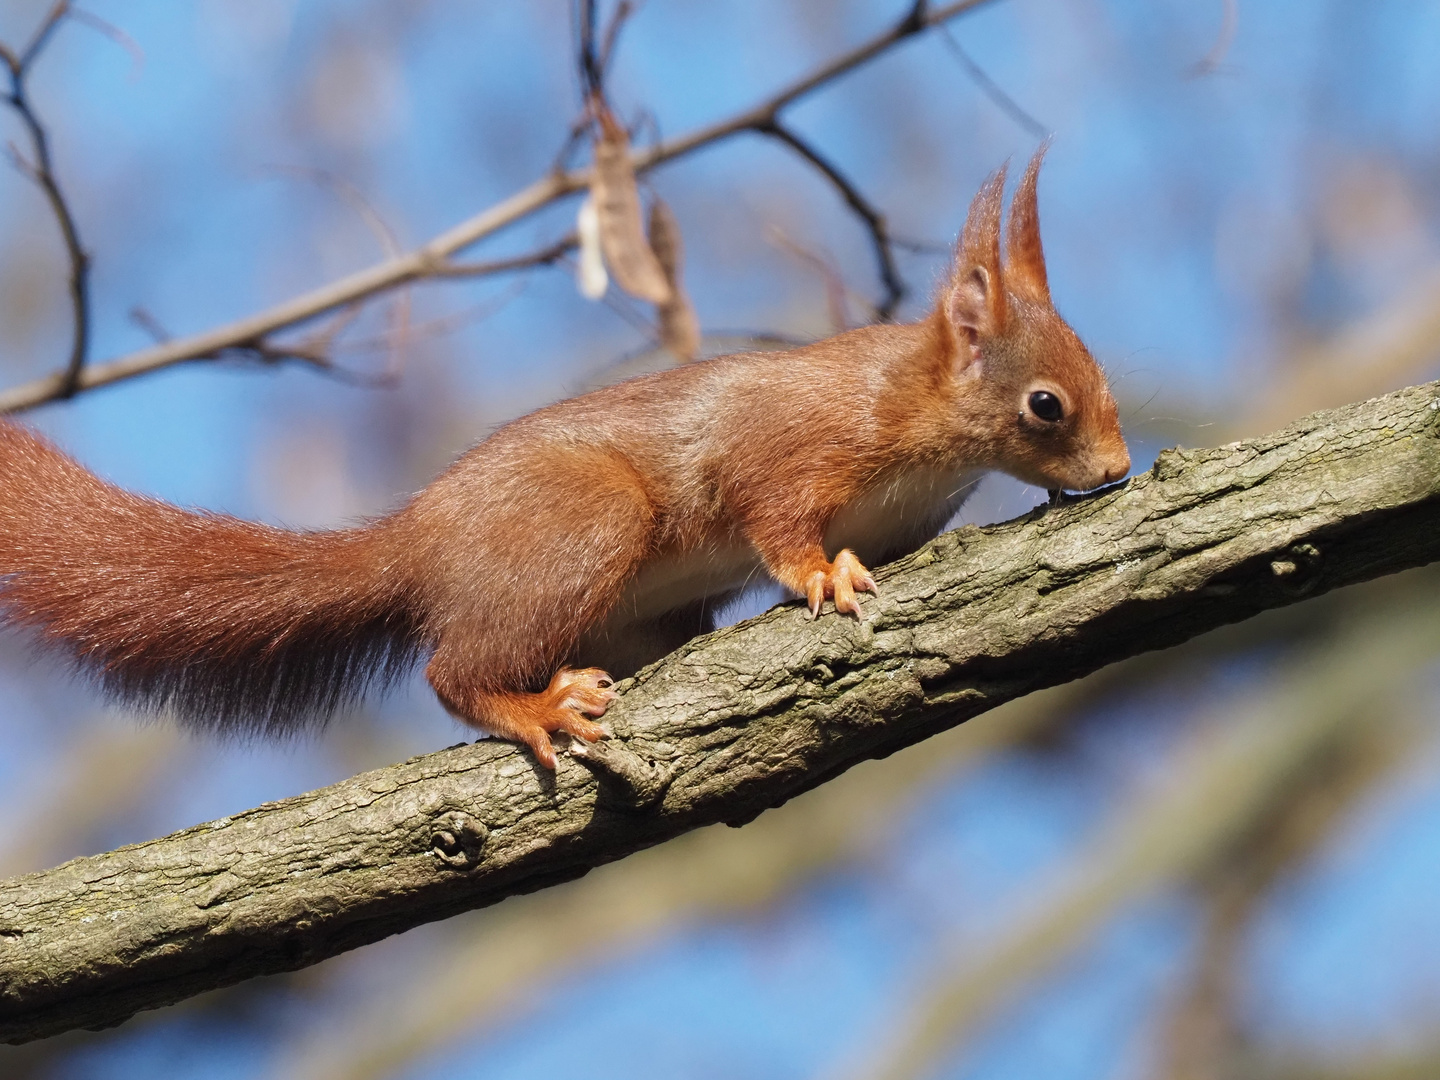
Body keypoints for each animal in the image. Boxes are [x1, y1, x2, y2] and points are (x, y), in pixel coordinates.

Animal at [0, 150, 1128, 771]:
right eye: (1045, 405)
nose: (1117, 469)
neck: (912, 406)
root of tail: (419, 540)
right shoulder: (794, 445)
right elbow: (776, 517)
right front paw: (824, 574)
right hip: (583, 524)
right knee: (451, 672)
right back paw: (531, 705)